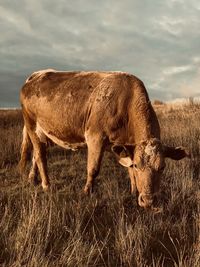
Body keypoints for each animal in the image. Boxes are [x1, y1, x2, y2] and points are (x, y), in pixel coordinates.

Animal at [19, 70, 189, 209]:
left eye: (162, 167)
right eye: (137, 166)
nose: (148, 201)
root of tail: (35, 75)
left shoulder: (126, 146)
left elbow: (127, 169)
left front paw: (133, 191)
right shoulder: (95, 136)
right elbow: (93, 168)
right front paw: (87, 192)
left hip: (42, 132)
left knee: (35, 155)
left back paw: (32, 178)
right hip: (31, 125)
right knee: (40, 155)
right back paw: (46, 185)